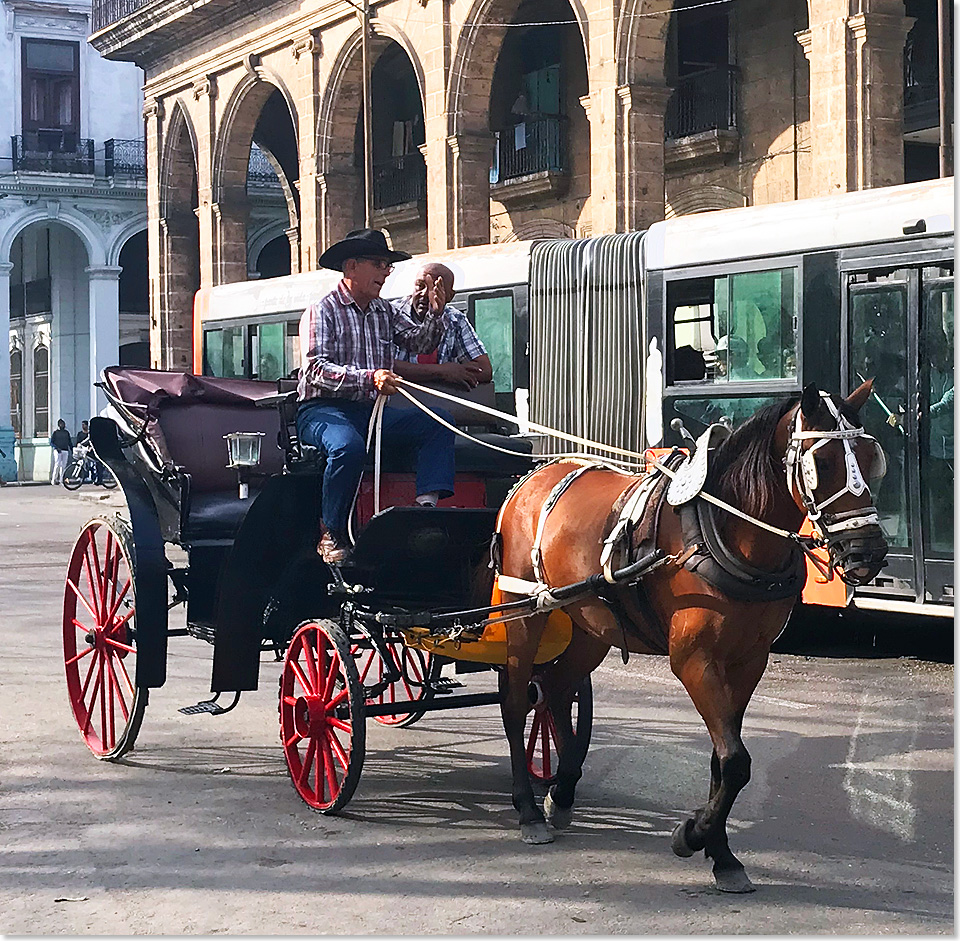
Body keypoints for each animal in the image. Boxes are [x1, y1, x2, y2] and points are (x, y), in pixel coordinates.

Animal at [492, 380, 888, 888]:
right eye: (822, 464)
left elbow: (724, 759)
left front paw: (719, 851)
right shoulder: (695, 660)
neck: (727, 532)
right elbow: (736, 759)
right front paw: (695, 835)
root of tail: (535, 475)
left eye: (870, 455)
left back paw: (561, 794)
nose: (868, 552)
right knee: (518, 700)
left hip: (589, 623)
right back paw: (527, 810)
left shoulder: (748, 660)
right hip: (522, 611)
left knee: (557, 691)